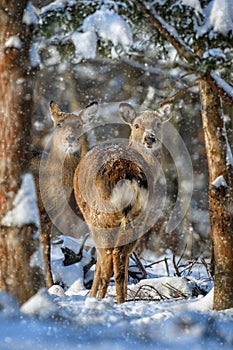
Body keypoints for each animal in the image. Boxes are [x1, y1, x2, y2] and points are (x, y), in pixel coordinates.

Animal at [30, 100, 98, 288]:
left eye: (79, 125)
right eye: (59, 124)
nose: (70, 138)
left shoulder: (46, 219)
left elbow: (45, 251)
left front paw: (50, 284)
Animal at [73, 102, 173, 302]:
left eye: (158, 124)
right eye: (137, 125)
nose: (150, 138)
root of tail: (129, 175)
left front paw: (92, 294)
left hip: (100, 215)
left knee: (107, 259)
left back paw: (99, 299)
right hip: (138, 217)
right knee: (120, 259)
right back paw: (121, 299)